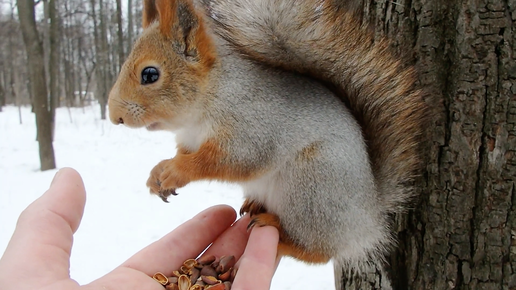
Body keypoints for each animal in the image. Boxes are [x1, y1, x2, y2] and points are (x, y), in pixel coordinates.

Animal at [108, 0, 428, 286]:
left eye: (150, 74)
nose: (114, 117)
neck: (208, 99)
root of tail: (369, 217)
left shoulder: (253, 127)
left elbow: (227, 160)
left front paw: (174, 171)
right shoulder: (190, 139)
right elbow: (186, 153)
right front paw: (156, 174)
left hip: (312, 188)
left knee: (320, 252)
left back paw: (279, 234)